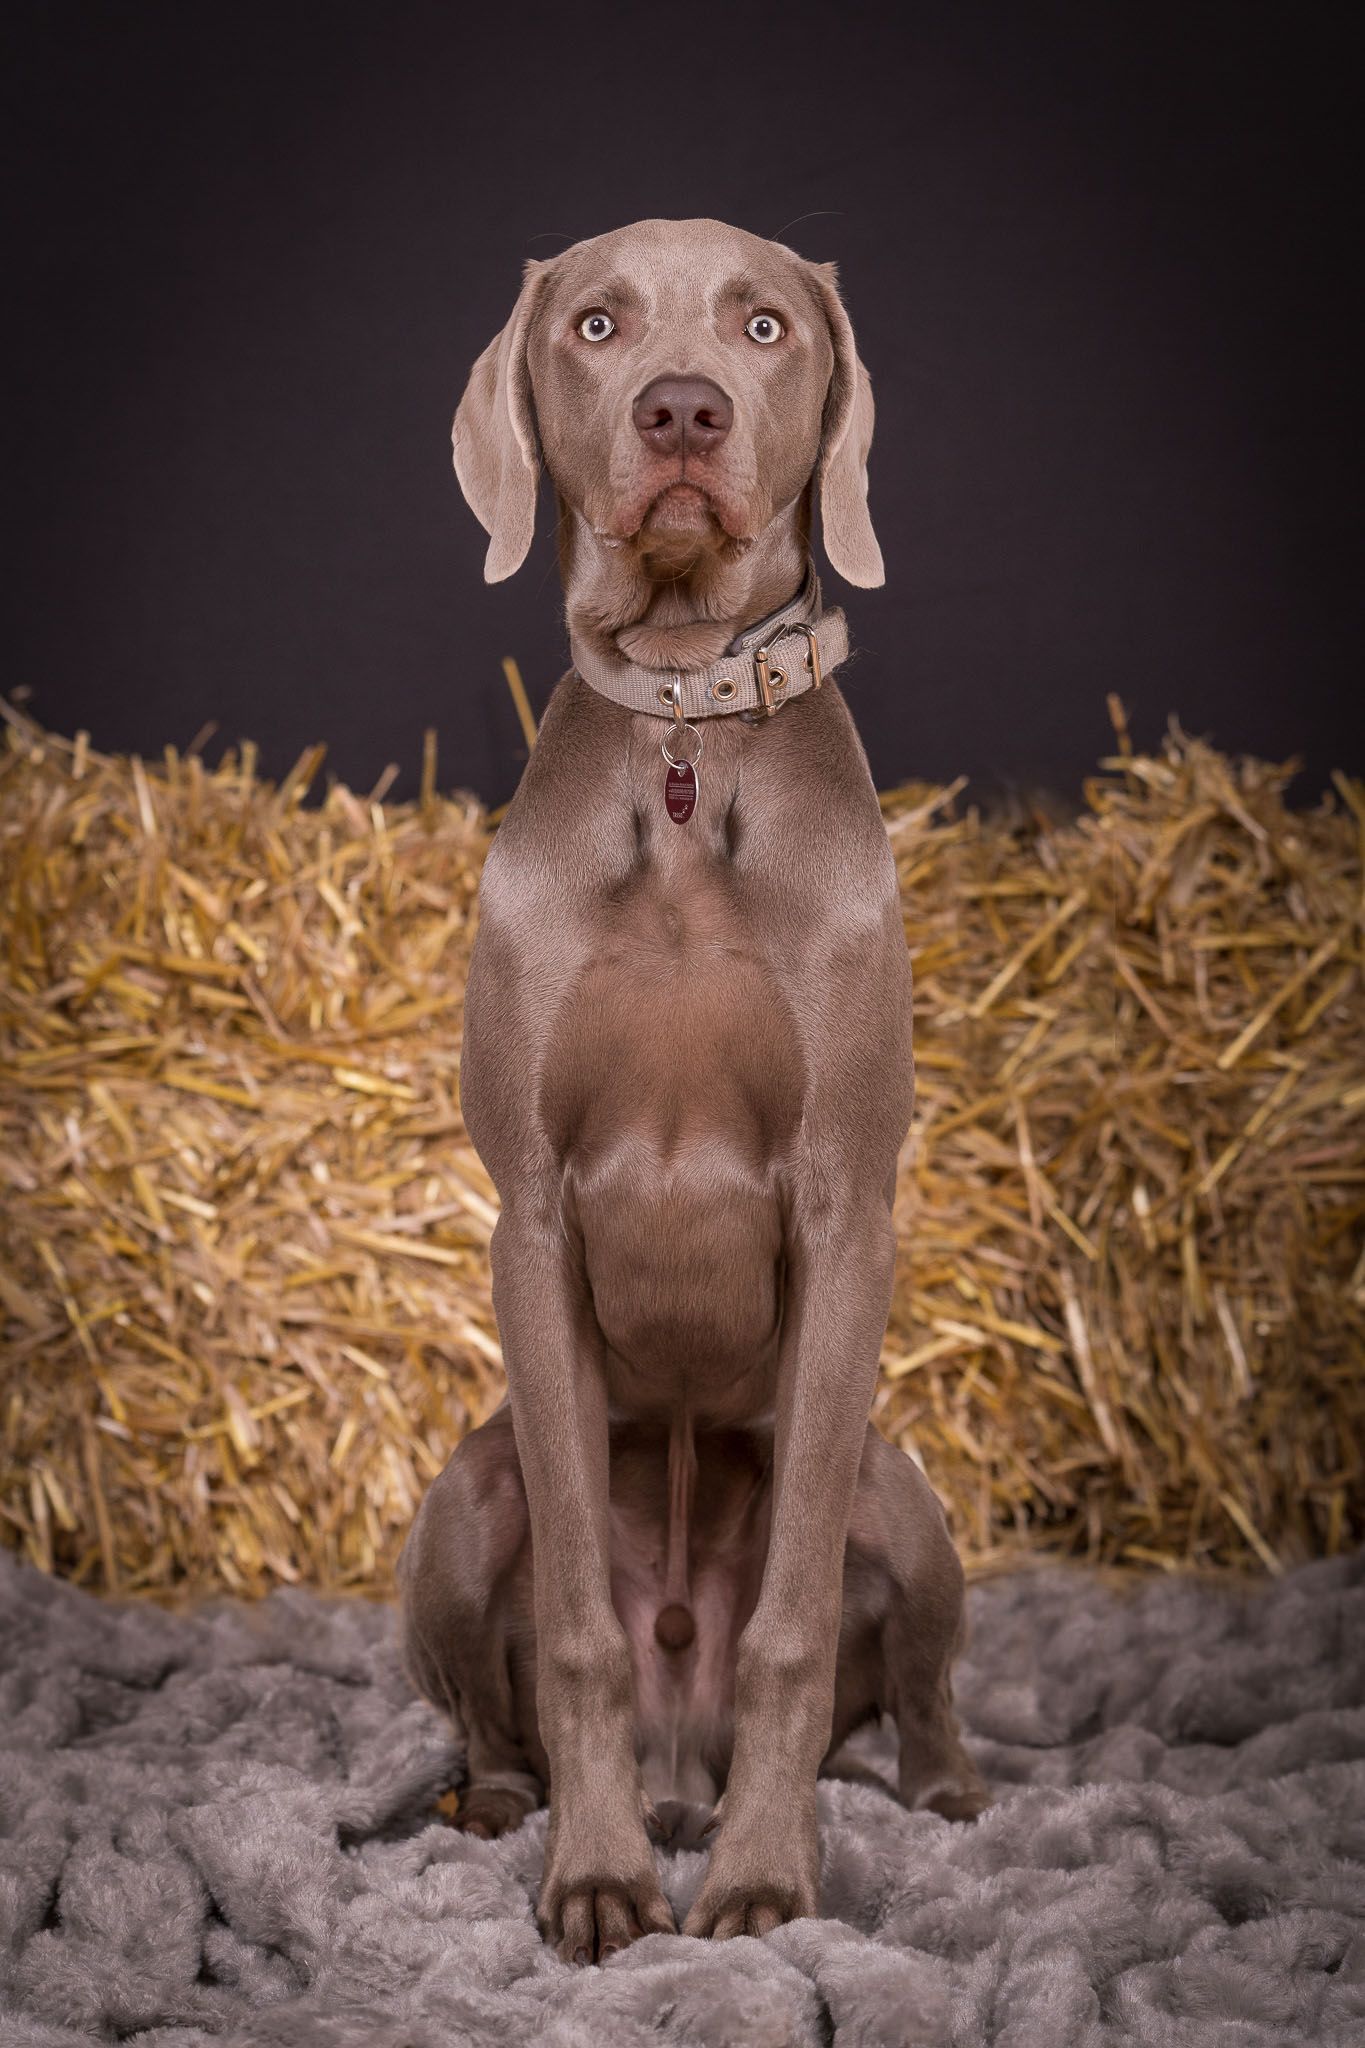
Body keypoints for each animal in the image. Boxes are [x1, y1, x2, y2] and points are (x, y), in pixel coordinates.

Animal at [399, 217, 987, 1965]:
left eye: (764, 323)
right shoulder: (530, 1213)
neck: (683, 741)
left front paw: (762, 1885)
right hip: (463, 1496)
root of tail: (683, 1756)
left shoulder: (847, 1207)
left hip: (898, 1493)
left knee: (914, 1682)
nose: (680, 411)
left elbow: (792, 1634)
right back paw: (512, 1804)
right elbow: (580, 1636)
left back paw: (932, 1795)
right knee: (500, 1692)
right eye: (594, 324)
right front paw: (594, 1881)